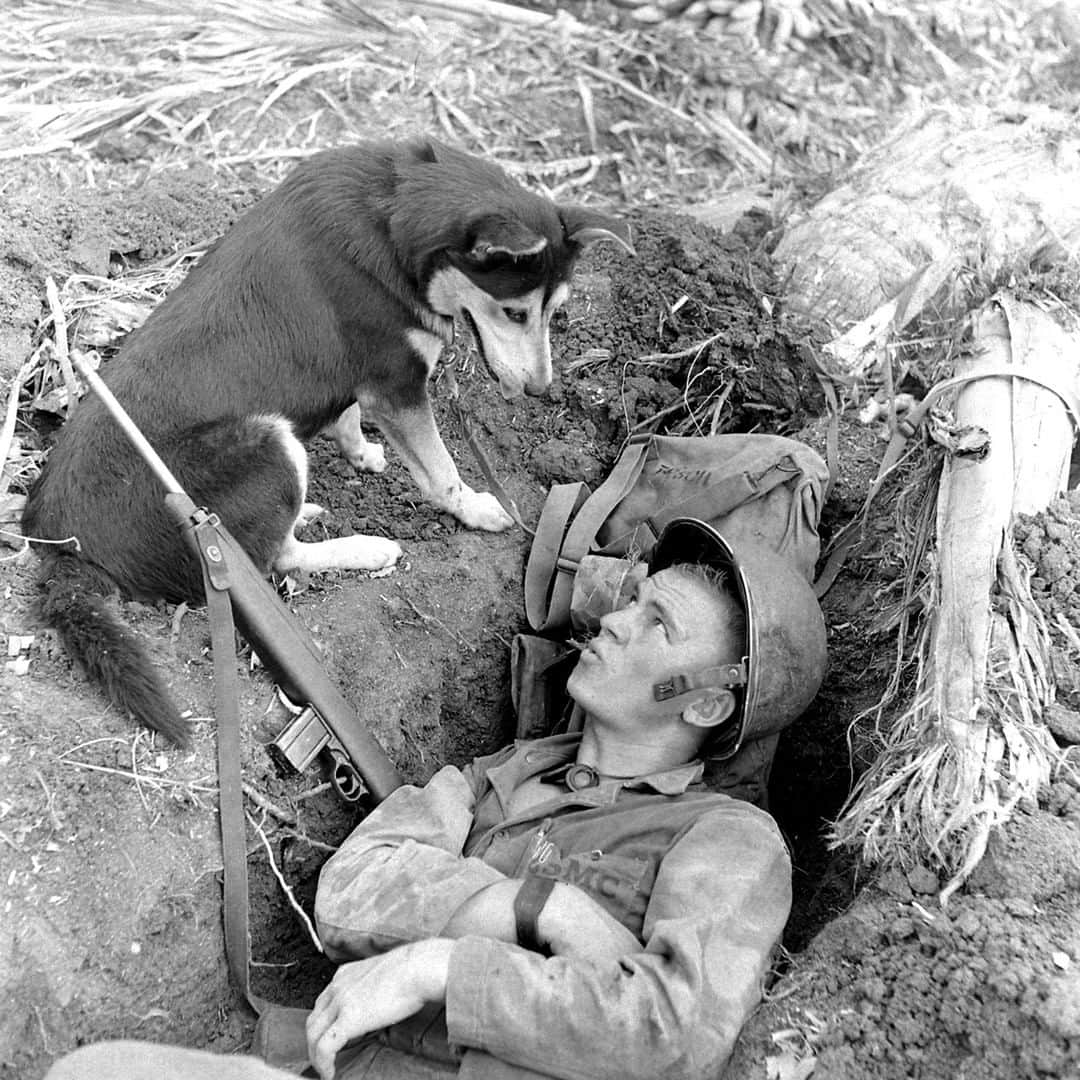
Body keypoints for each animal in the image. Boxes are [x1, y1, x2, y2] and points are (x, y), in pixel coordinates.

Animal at [25, 137, 635, 743]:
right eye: (514, 312)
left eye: (554, 310)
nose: (539, 389)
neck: (395, 221)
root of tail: (60, 546)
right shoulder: (398, 384)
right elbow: (440, 472)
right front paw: (476, 510)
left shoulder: (365, 379)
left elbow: (349, 413)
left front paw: (361, 452)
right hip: (268, 443)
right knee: (278, 559)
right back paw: (365, 547)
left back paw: (311, 510)